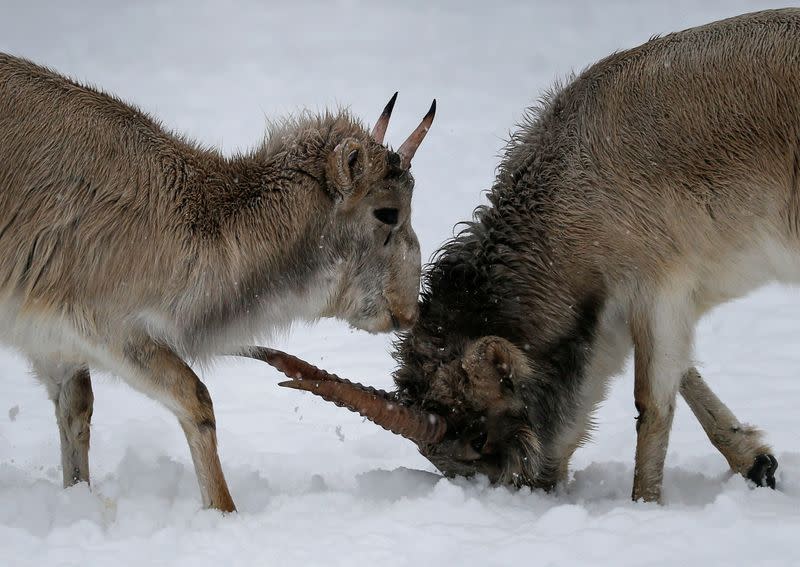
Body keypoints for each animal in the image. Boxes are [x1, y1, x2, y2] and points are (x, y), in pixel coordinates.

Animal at [0, 54, 434, 516]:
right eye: (388, 212)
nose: (410, 311)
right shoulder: (105, 326)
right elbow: (197, 398)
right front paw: (225, 514)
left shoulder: (53, 348)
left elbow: (76, 415)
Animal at [256, 8, 792, 504]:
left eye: (477, 437)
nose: (526, 489)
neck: (577, 190)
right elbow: (683, 372)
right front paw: (756, 462)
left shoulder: (659, 285)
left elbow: (653, 404)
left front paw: (644, 506)